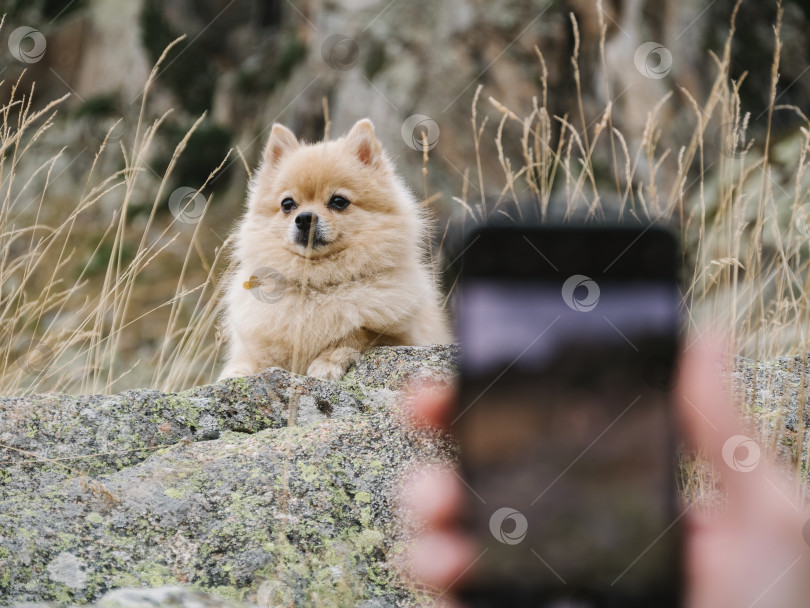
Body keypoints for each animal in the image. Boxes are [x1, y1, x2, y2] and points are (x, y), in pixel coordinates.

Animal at [218, 119, 452, 380]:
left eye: (339, 201)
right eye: (287, 204)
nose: (305, 218)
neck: (317, 285)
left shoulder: (400, 335)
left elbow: (356, 334)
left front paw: (327, 361)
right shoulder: (260, 341)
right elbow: (250, 359)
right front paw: (236, 373)